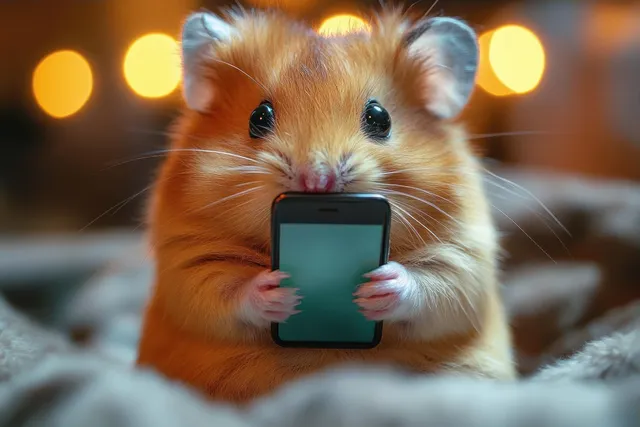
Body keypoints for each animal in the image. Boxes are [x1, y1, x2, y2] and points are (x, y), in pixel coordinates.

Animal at [136, 8, 516, 404]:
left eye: (380, 118)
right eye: (258, 117)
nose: (317, 181)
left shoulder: (465, 254)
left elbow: (435, 286)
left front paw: (379, 286)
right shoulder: (187, 258)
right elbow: (223, 291)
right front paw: (279, 291)